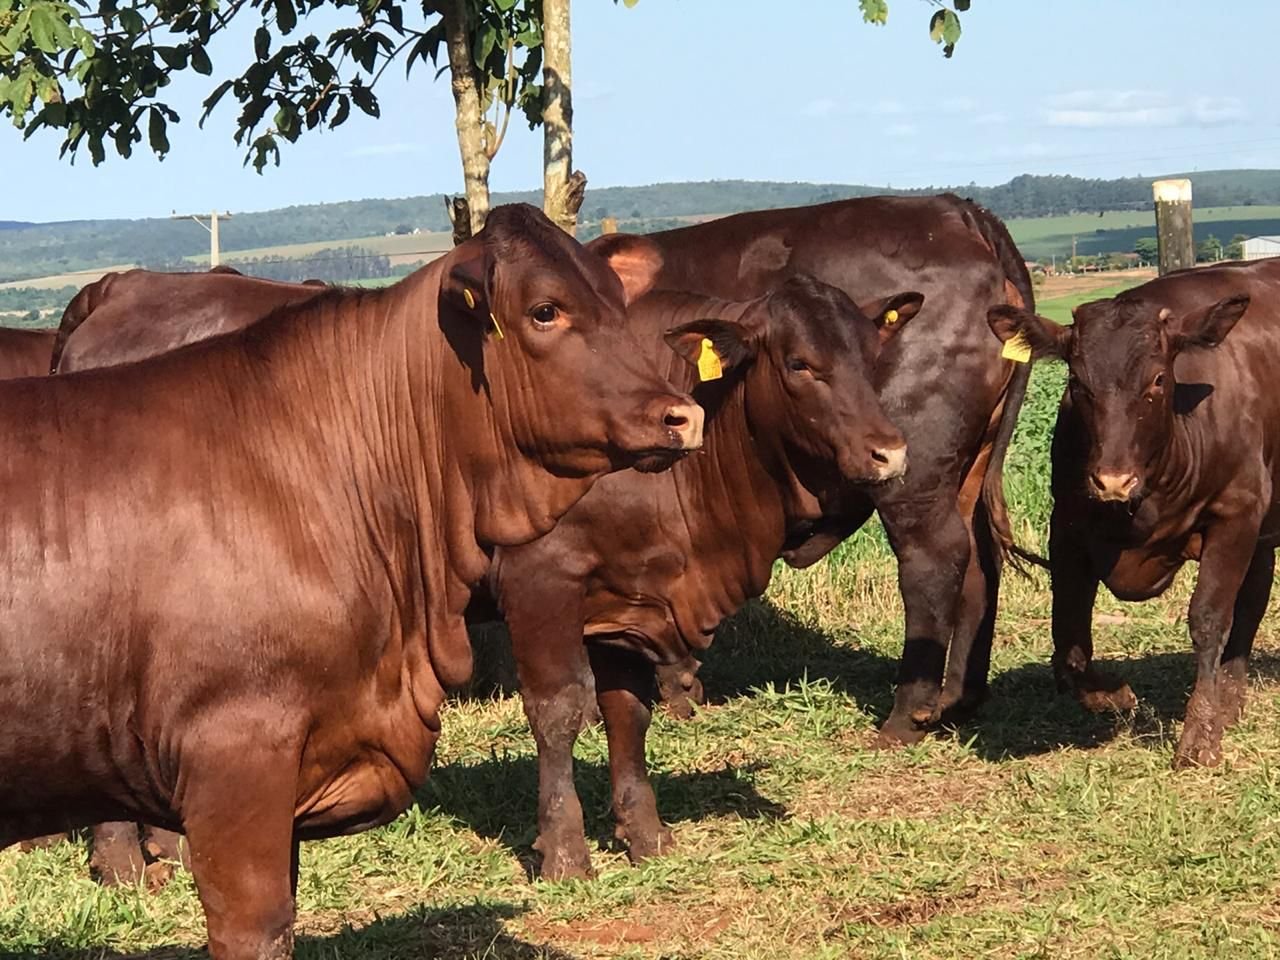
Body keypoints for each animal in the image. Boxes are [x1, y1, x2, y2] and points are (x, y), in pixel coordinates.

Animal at [486, 272, 921, 880]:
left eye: (873, 356)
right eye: (798, 364)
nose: (890, 453)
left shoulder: (627, 604)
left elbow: (628, 713)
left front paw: (645, 834)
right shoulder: (540, 583)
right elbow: (558, 711)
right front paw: (566, 853)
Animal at [601, 192, 1039, 742]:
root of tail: (957, 210)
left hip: (914, 474)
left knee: (936, 558)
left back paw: (907, 716)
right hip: (969, 471)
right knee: (981, 560)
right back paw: (957, 701)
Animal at [988, 259, 1280, 773]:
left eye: (1159, 380)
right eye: (1076, 383)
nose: (1113, 481)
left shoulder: (1237, 511)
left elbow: (1209, 619)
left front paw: (1199, 736)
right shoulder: (1067, 525)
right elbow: (1068, 634)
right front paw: (1113, 695)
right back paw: (1230, 701)